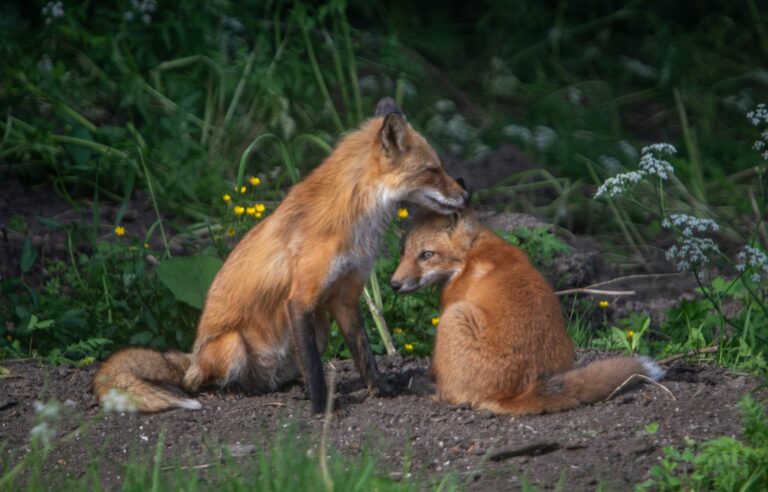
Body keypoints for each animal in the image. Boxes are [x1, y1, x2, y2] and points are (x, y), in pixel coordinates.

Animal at [96, 98, 468, 414]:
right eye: (432, 169)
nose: (466, 195)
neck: (355, 221)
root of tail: (192, 359)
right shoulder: (300, 297)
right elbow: (317, 369)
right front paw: (322, 408)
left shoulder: (345, 297)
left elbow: (363, 354)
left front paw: (382, 390)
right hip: (233, 345)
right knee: (205, 383)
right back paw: (245, 390)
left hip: (320, 326)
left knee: (292, 370)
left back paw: (290, 386)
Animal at [392, 211, 664, 416]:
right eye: (403, 251)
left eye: (427, 255)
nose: (393, 284)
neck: (471, 256)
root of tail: (522, 391)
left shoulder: (449, 309)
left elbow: (434, 365)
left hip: (454, 318)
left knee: (453, 395)